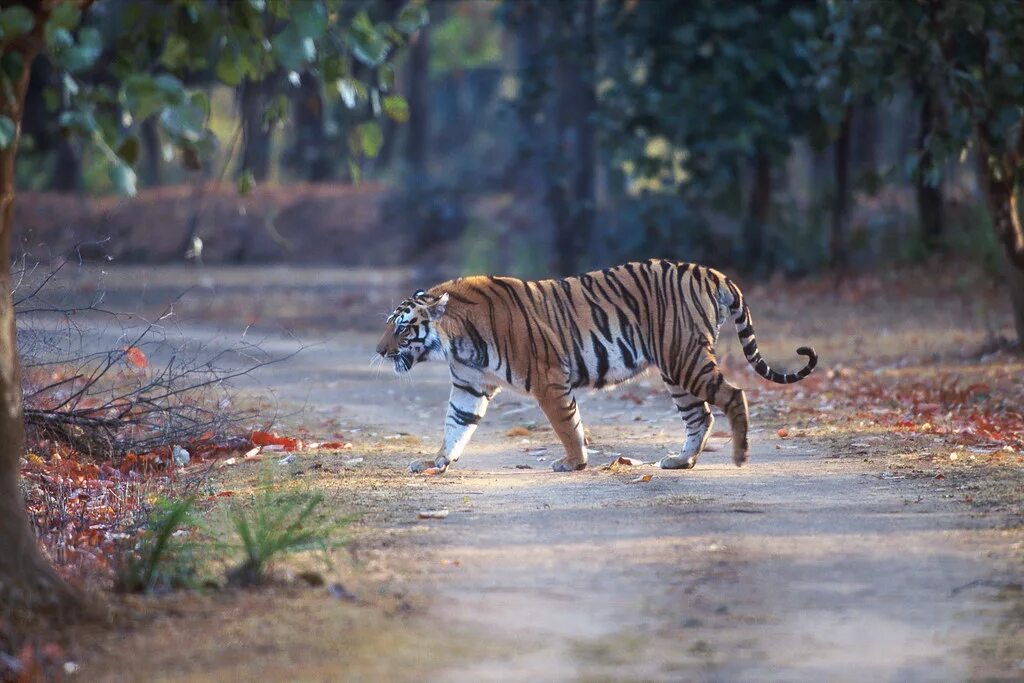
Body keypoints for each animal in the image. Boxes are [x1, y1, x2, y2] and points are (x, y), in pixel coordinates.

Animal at [376, 258, 815, 475]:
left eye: (402, 327)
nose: (379, 351)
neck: (456, 343)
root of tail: (710, 272)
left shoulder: (549, 379)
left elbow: (567, 425)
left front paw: (574, 463)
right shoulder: (470, 386)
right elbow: (456, 426)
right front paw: (435, 463)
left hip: (685, 359)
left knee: (733, 395)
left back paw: (739, 456)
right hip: (676, 368)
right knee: (701, 417)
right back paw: (680, 461)